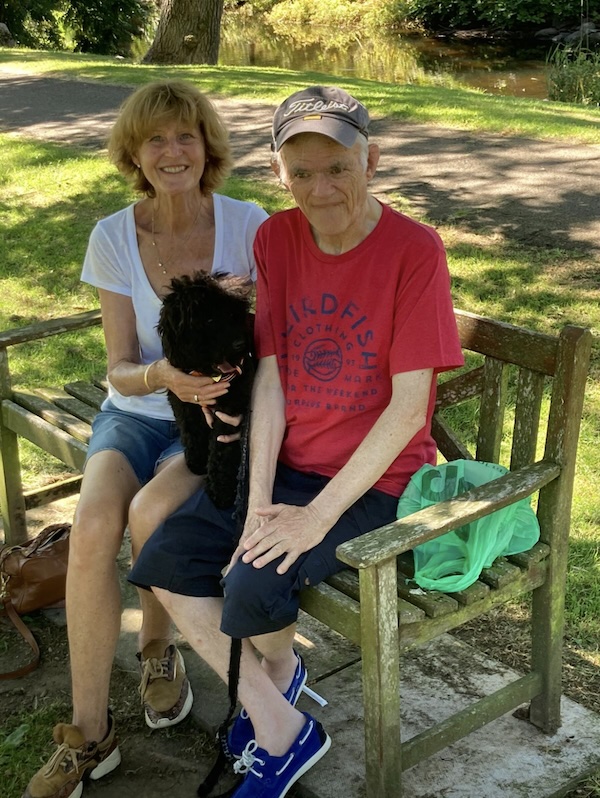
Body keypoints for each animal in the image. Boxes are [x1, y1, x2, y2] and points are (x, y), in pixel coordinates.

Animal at [157, 272, 253, 510]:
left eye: (233, 314)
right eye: (208, 320)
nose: (240, 344)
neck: (209, 375)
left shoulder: (229, 411)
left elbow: (221, 451)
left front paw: (220, 492)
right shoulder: (183, 401)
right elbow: (191, 430)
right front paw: (196, 460)